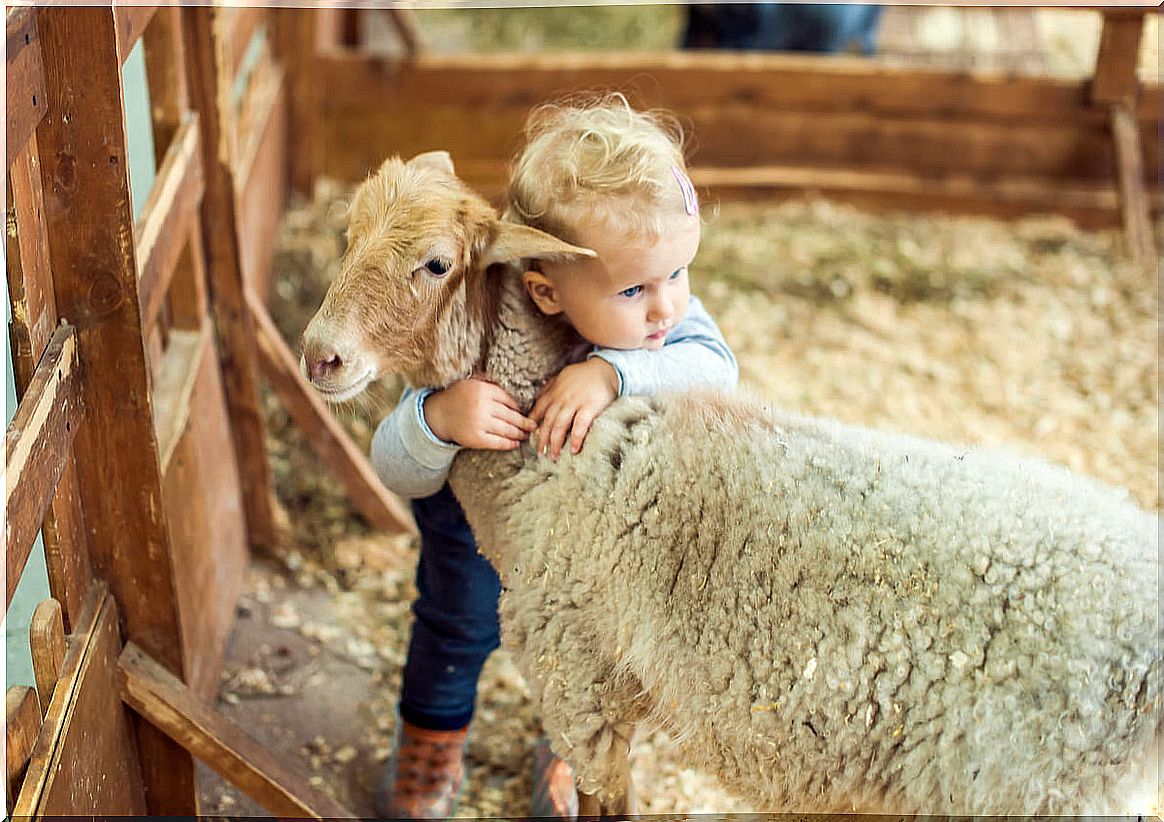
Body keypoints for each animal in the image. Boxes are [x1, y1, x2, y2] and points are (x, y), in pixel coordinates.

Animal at [297, 152, 1154, 815]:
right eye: (347, 237)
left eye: (436, 263)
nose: (319, 356)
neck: (549, 469)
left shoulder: (579, 681)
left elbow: (608, 802)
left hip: (1027, 786)